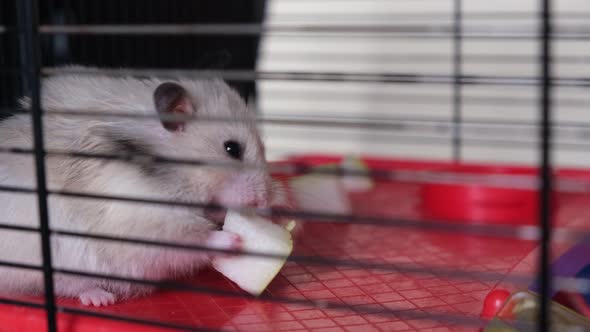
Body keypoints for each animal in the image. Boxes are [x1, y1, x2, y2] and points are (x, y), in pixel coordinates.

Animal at [0, 66, 288, 308]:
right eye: (232, 149)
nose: (266, 200)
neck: (171, 174)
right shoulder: (142, 223)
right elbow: (190, 238)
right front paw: (234, 239)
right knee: (66, 284)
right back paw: (100, 298)